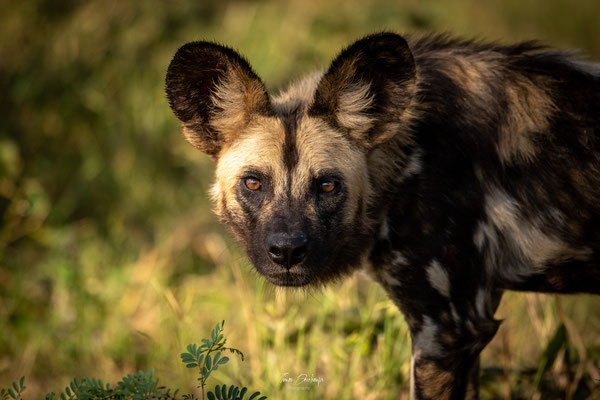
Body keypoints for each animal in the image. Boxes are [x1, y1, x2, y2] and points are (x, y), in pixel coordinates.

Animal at [166, 32, 600, 398]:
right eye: (254, 183)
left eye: (328, 185)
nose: (287, 251)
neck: (407, 158)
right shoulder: (475, 313)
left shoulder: (447, 330)